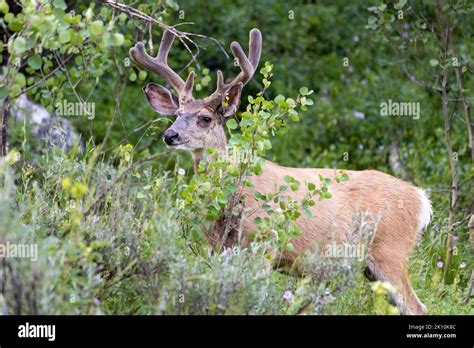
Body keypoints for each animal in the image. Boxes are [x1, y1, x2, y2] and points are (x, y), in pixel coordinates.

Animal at [129, 27, 430, 316]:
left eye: (205, 118)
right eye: (177, 114)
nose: (170, 135)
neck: (232, 197)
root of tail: (421, 199)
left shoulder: (263, 243)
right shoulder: (219, 248)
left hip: (390, 251)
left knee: (418, 307)